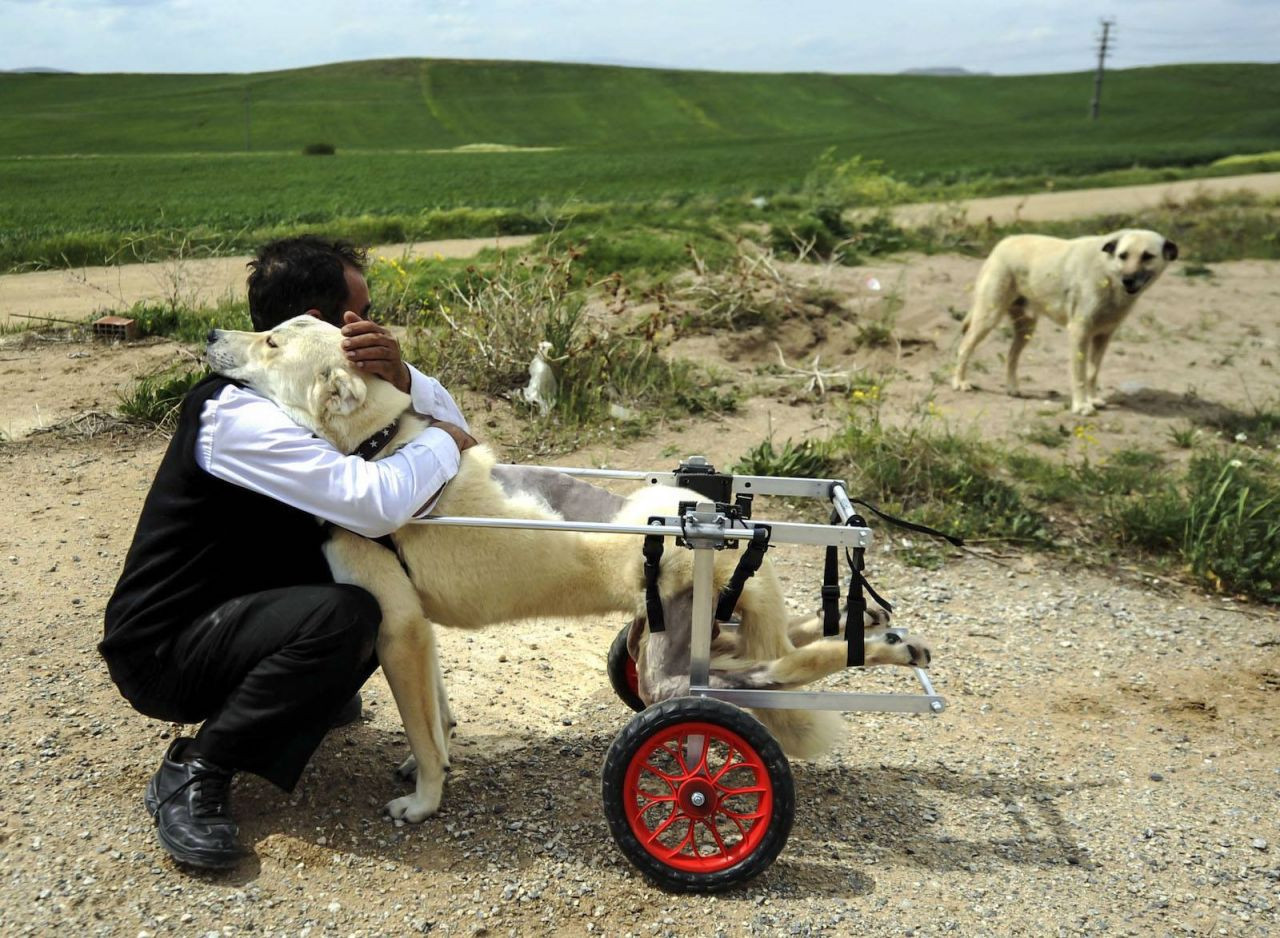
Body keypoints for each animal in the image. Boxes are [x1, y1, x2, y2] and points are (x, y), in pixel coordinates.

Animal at [204, 318, 936, 824]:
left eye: (271, 341)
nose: (211, 335)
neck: (379, 444)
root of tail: (718, 519)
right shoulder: (419, 632)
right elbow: (436, 715)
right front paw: (429, 757)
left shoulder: (399, 630)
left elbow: (423, 725)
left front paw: (425, 799)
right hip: (687, 634)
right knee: (785, 648)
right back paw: (879, 627)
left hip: (673, 676)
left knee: (771, 678)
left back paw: (887, 647)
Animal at [952, 226, 1177, 414]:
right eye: (1123, 256)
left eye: (1147, 256)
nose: (1127, 280)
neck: (1108, 272)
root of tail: (1004, 242)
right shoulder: (1079, 333)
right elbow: (1079, 375)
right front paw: (1081, 405)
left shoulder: (1103, 336)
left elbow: (1092, 373)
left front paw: (1092, 399)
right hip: (988, 318)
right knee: (964, 348)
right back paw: (959, 382)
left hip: (1026, 330)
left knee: (1011, 357)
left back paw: (1012, 388)